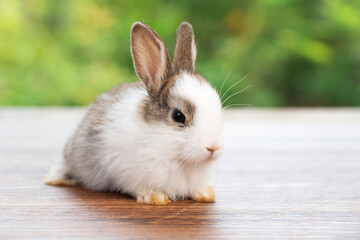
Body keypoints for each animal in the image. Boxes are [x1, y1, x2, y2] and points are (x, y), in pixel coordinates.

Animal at [44, 21, 225, 204]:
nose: (213, 147)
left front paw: (206, 195)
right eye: (178, 116)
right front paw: (156, 198)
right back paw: (54, 179)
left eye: (218, 106)